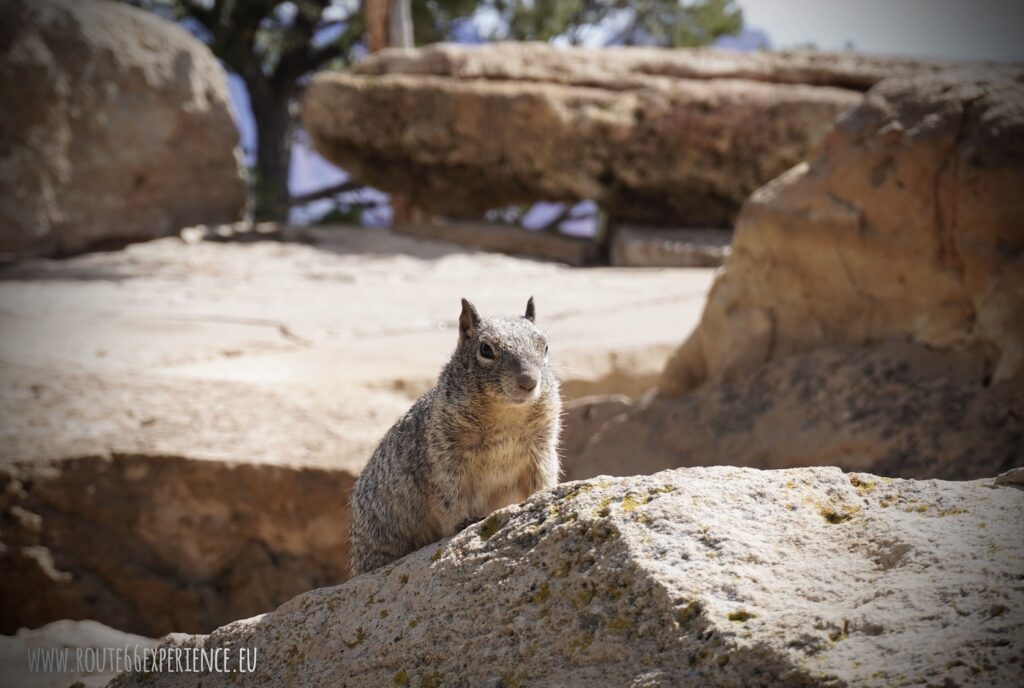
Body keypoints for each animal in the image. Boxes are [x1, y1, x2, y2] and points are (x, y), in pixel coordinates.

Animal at [350, 294, 561, 573]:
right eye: (486, 349)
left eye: (545, 347)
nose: (528, 382)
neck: (506, 415)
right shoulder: (445, 459)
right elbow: (451, 499)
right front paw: (464, 523)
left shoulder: (541, 449)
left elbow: (541, 479)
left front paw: (543, 498)